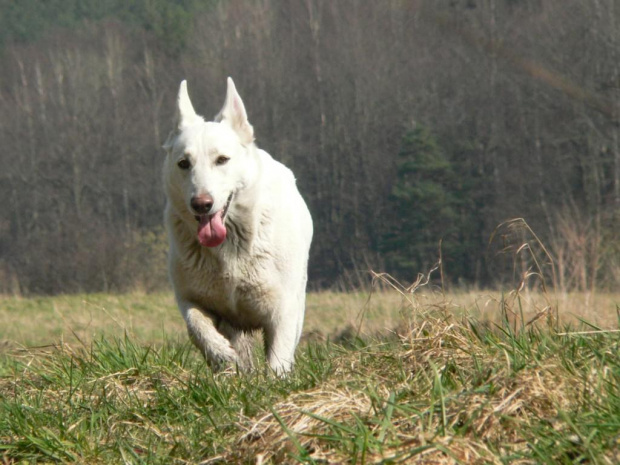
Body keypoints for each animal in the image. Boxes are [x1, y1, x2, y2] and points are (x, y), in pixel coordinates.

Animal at [162, 77, 312, 374]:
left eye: (222, 160)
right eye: (184, 163)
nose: (201, 204)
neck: (230, 244)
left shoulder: (283, 311)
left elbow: (278, 358)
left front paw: (275, 381)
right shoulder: (190, 298)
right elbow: (197, 326)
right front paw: (220, 353)